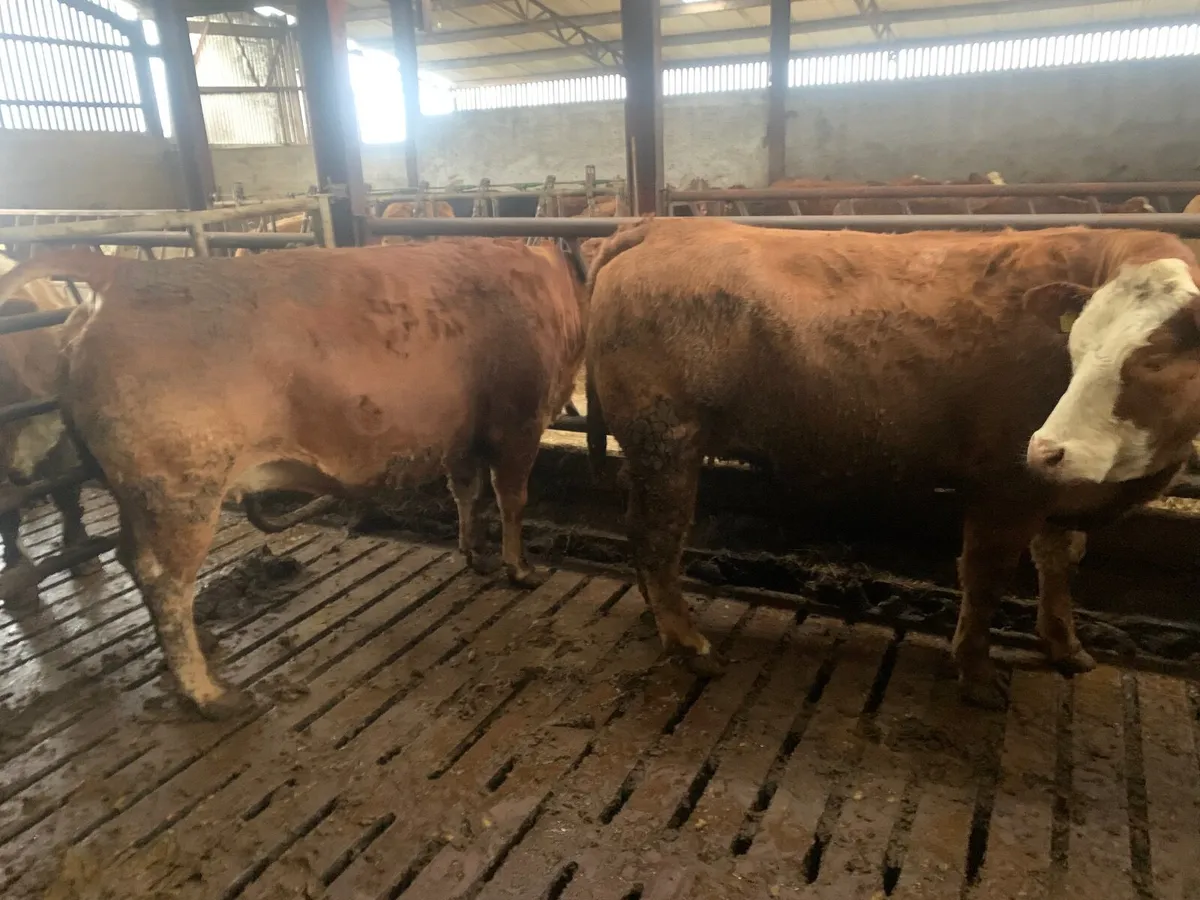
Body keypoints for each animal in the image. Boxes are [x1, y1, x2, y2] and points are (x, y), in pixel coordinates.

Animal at [584, 218, 1200, 709]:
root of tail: (660, 225)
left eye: (1154, 360)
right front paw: (977, 674)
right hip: (666, 440)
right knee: (658, 536)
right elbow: (986, 578)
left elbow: (1059, 561)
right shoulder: (1007, 485)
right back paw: (688, 643)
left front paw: (1064, 644)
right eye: (1075, 348)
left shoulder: (1056, 490)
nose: (1047, 448)